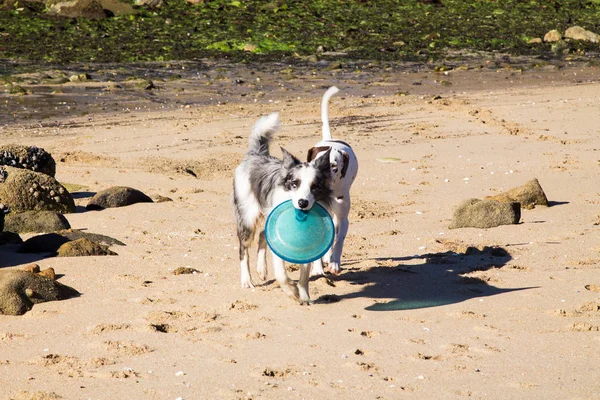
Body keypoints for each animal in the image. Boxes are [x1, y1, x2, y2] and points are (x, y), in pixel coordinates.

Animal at [232, 111, 332, 304]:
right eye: (294, 183)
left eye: (315, 187)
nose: (302, 203)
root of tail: (256, 155)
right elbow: (281, 274)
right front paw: (292, 291)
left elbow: (304, 275)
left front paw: (305, 297)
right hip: (248, 217)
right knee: (243, 249)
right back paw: (246, 280)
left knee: (262, 235)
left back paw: (261, 269)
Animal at [308, 86, 358, 276]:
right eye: (314, 163)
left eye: (333, 166)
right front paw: (317, 268)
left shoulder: (343, 219)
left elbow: (338, 241)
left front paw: (334, 262)